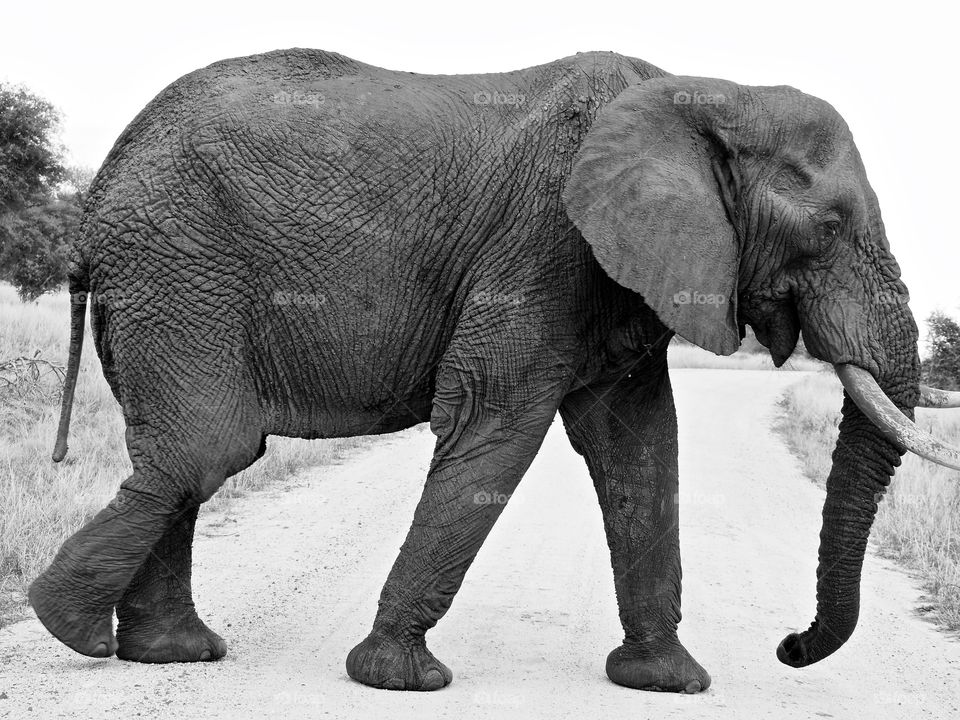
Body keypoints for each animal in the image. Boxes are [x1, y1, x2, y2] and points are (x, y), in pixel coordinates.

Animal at [28, 49, 960, 692]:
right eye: (829, 227)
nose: (791, 646)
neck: (701, 91)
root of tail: (97, 193)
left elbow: (640, 450)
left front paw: (667, 682)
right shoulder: (543, 241)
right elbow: (496, 426)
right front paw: (400, 679)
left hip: (165, 279)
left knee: (178, 457)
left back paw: (167, 655)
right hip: (177, 269)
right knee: (206, 449)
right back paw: (73, 630)